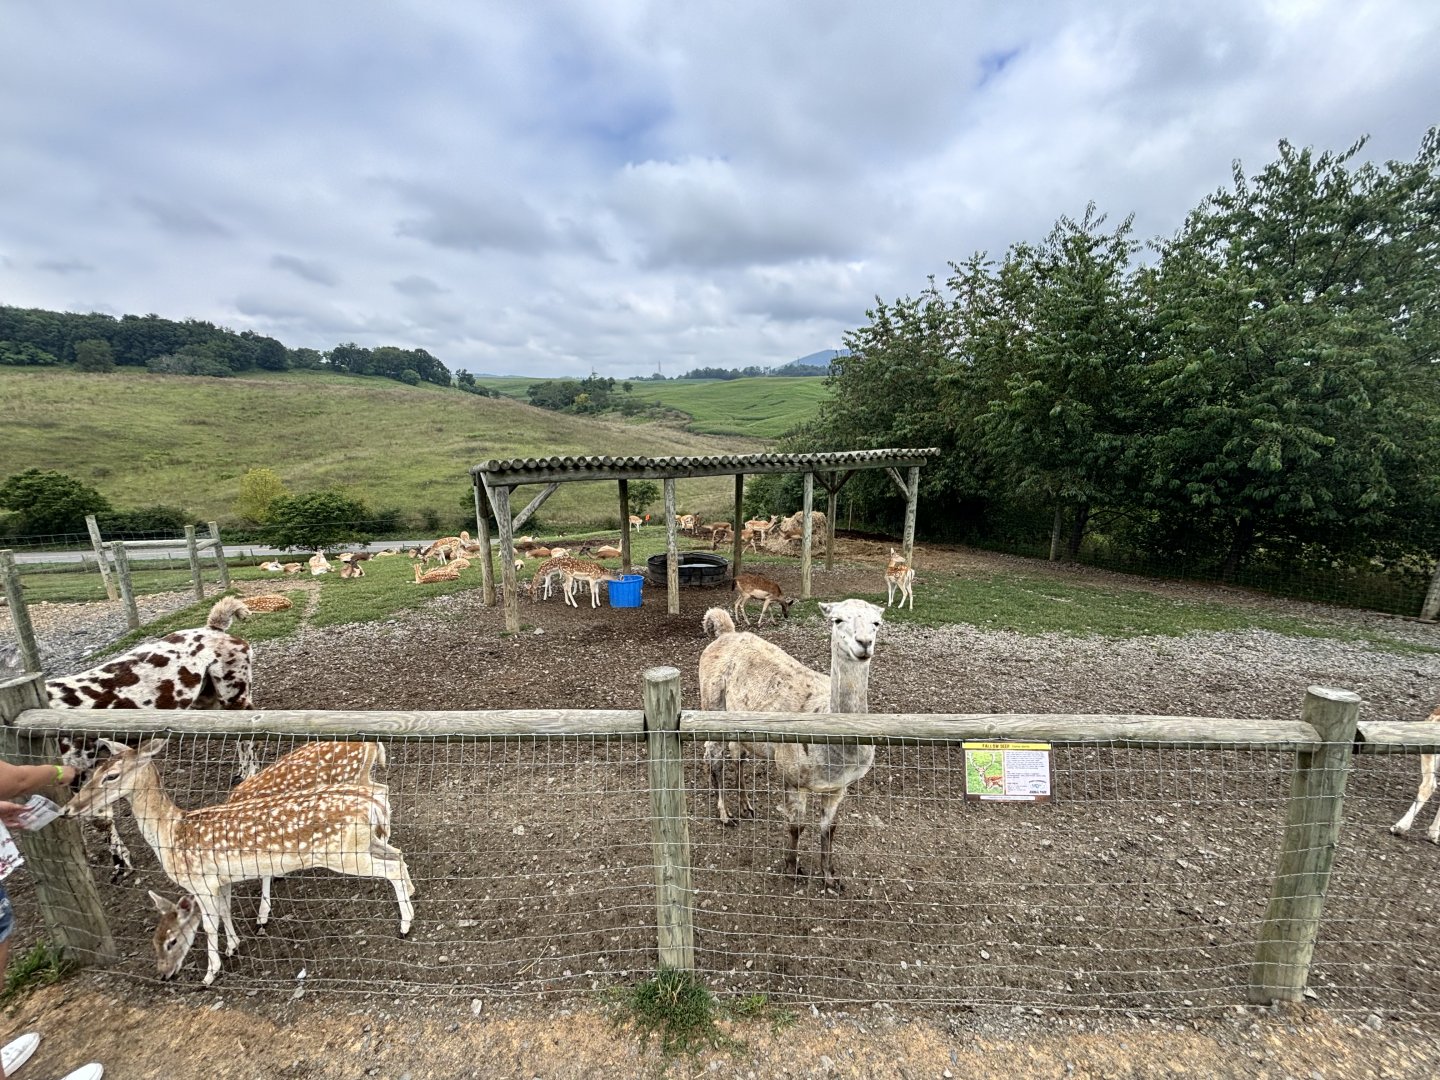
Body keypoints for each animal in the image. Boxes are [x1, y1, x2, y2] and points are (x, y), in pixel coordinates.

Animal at [64, 738, 415, 986]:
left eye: (111, 775)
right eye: (154, 940)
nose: (70, 807)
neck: (171, 834)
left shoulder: (202, 881)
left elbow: (210, 924)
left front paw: (211, 972)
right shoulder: (221, 879)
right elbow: (225, 911)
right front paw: (235, 944)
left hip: (344, 851)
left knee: (391, 863)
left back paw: (405, 925)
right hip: (363, 843)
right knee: (397, 853)